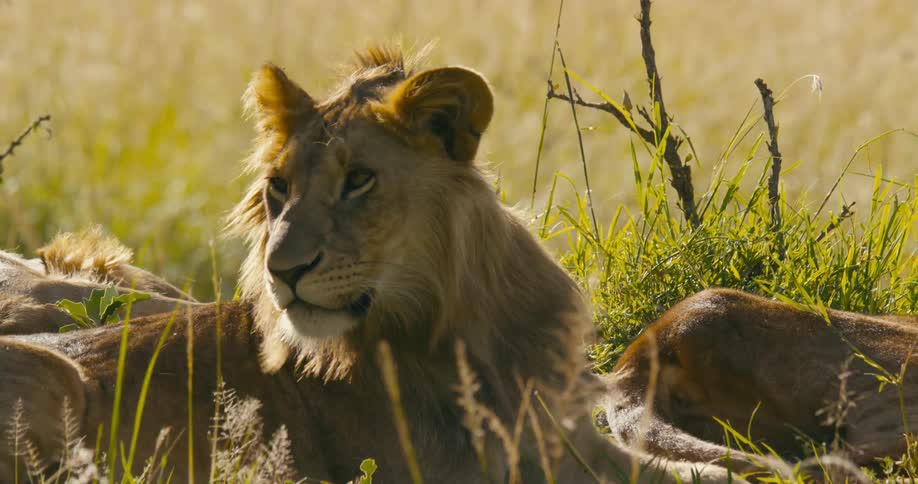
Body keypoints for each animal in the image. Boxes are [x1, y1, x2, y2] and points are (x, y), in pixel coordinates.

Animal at [0, 47, 738, 483]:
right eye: (278, 187)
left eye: (357, 180)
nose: (283, 271)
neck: (466, 327)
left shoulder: (566, 435)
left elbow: (714, 468)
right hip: (57, 379)